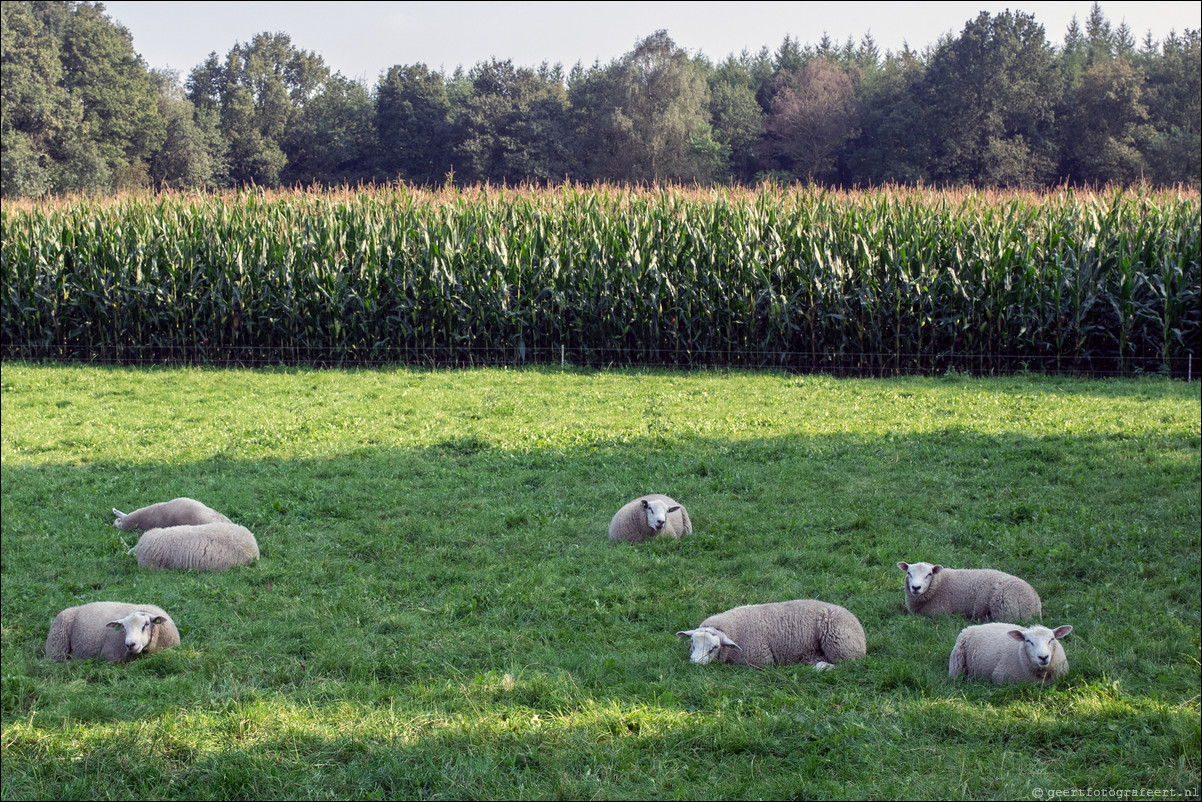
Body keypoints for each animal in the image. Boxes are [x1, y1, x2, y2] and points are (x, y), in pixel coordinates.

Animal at [677, 601, 865, 673]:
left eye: (714, 648)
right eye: (692, 643)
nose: (695, 663)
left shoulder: (760, 661)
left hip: (842, 647)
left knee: (846, 665)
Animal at [894, 562, 1043, 625]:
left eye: (929, 574)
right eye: (909, 573)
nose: (915, 587)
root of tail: (1037, 603)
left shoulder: (938, 614)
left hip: (1007, 609)